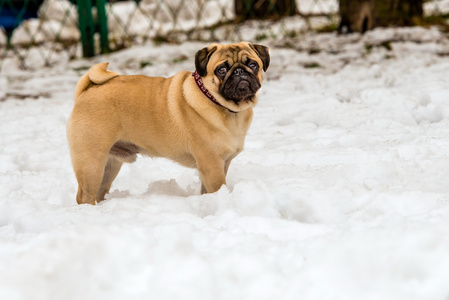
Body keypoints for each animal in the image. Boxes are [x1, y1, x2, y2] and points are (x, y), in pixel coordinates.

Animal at [66, 41, 270, 204]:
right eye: (221, 69)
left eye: (253, 65)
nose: (239, 72)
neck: (228, 110)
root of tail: (88, 89)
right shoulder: (212, 165)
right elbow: (218, 189)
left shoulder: (221, 164)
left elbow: (206, 191)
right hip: (91, 162)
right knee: (84, 195)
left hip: (109, 165)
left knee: (100, 190)